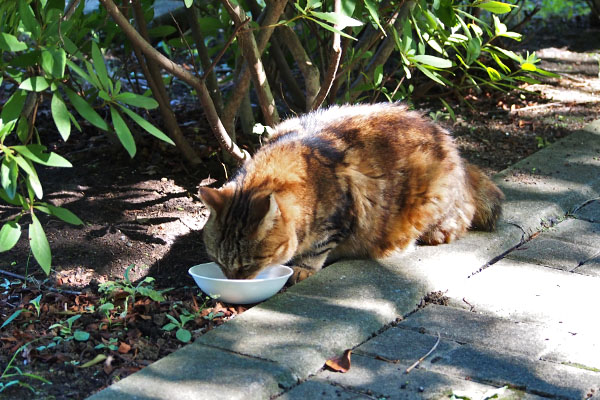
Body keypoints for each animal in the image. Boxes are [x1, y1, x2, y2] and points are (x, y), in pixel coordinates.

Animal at [199, 104, 504, 284]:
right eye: (219, 262)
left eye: (248, 265)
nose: (232, 280)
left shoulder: (338, 220)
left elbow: (317, 249)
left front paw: (303, 268)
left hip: (433, 197)